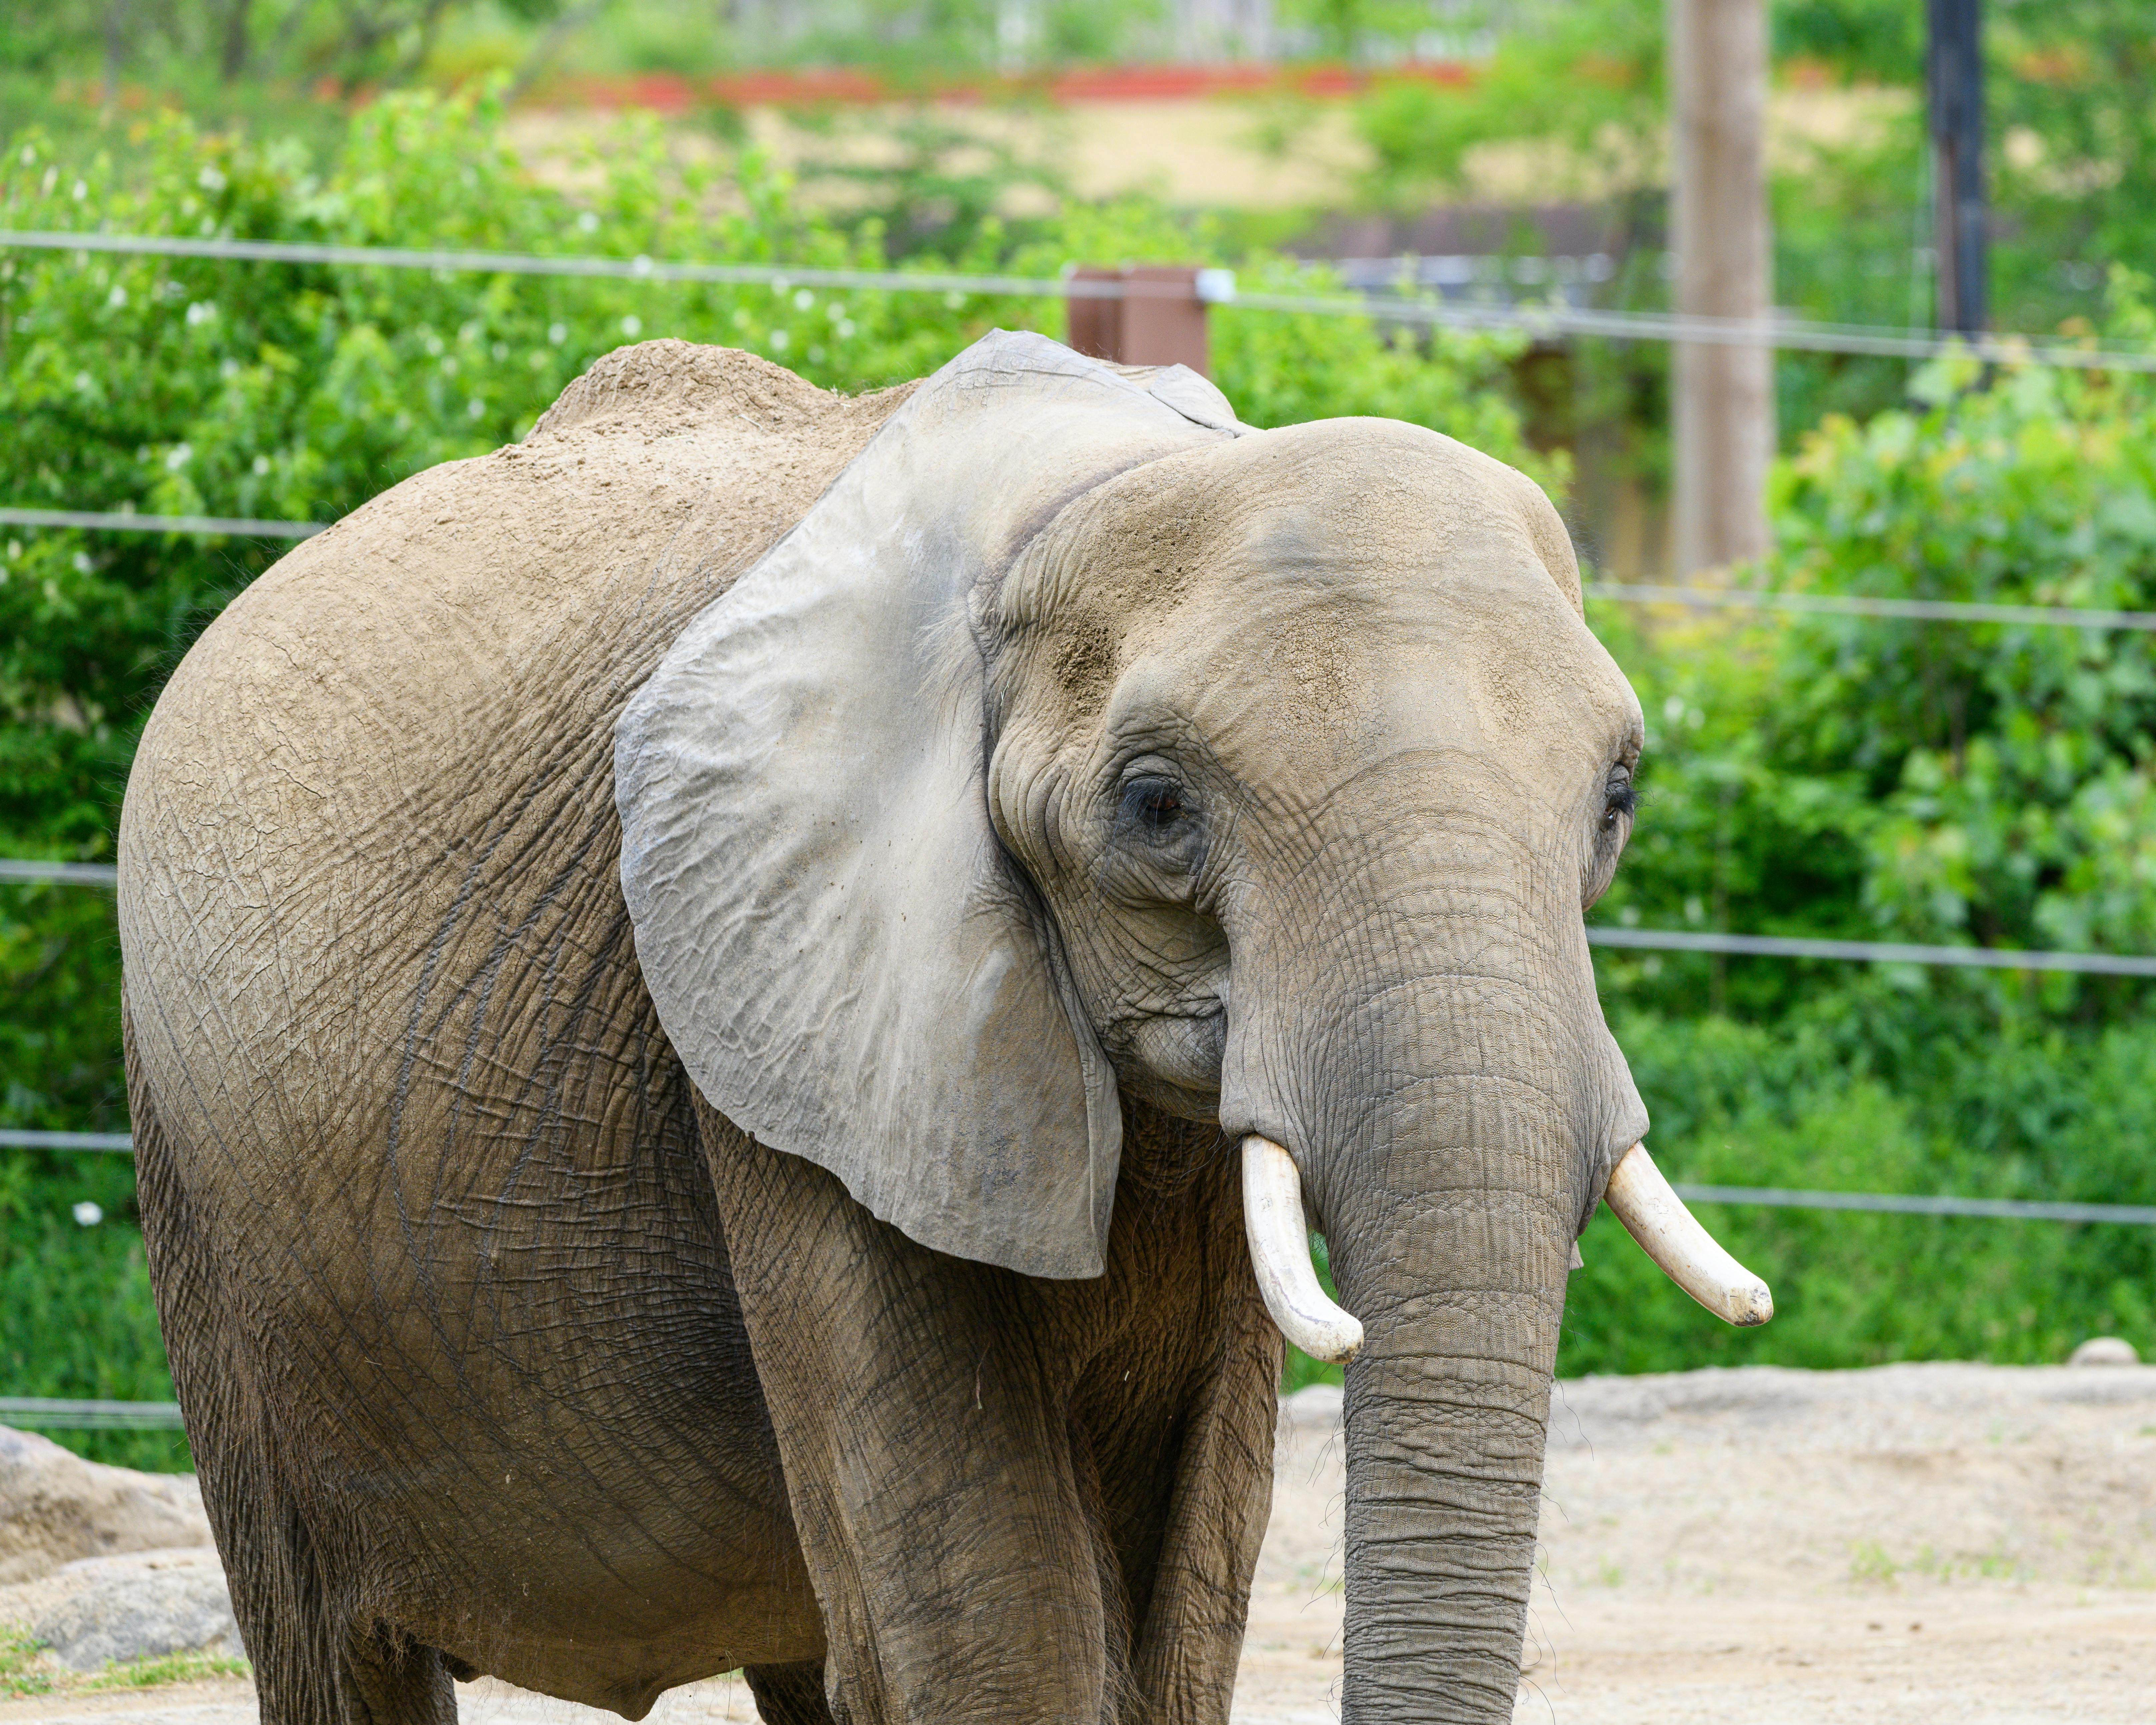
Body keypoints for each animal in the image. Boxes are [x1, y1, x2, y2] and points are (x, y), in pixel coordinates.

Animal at [117, 330, 1769, 1725]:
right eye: (1154, 806)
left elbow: (1185, 1595)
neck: (1098, 480)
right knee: (337, 1652)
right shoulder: (781, 1006)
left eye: (1617, 794)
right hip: (204, 1204)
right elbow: (993, 1621)